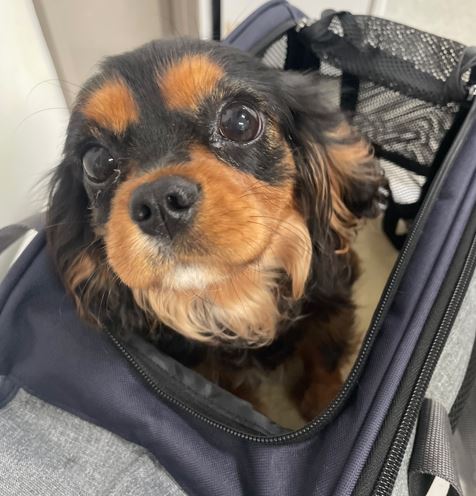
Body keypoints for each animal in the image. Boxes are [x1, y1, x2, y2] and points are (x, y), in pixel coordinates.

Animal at [46, 39, 386, 423]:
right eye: (96, 162)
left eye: (240, 121)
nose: (160, 201)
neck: (236, 294)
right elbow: (233, 393)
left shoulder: (331, 302)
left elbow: (324, 354)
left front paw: (323, 401)